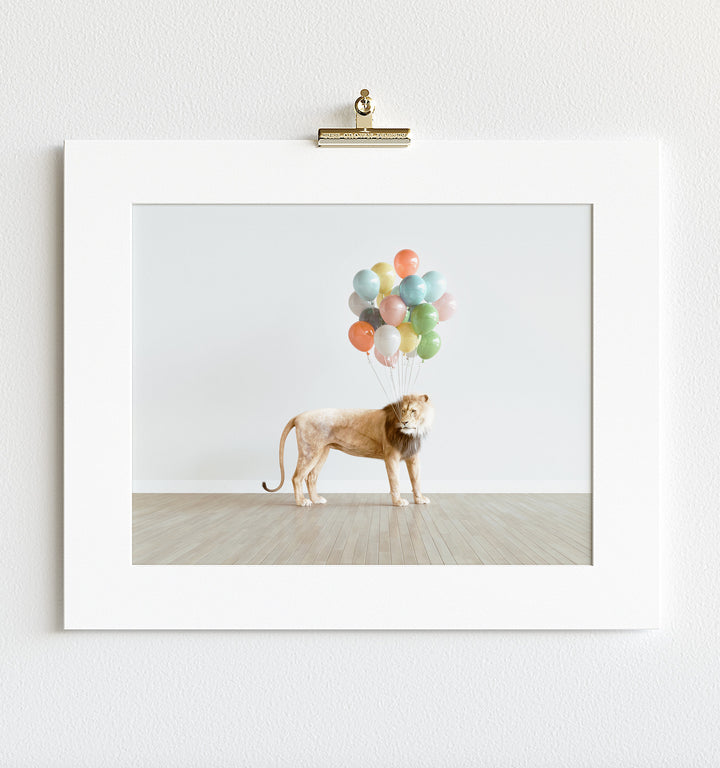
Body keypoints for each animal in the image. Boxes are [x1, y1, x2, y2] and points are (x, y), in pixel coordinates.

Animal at [262, 394, 434, 507]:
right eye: (402, 411)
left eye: (413, 411)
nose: (404, 422)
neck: (410, 434)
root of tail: (299, 416)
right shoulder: (391, 457)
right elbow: (395, 481)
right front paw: (398, 502)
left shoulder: (413, 457)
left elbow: (416, 479)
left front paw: (420, 500)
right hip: (310, 451)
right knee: (297, 477)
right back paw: (302, 502)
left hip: (322, 452)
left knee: (311, 477)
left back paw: (317, 499)